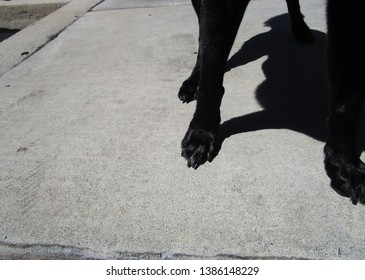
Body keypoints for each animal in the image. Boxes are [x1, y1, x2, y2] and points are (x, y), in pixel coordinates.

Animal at [178, 0, 364, 206]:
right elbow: (210, 70)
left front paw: (344, 165)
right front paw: (200, 135)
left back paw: (301, 28)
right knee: (202, 42)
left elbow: (347, 102)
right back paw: (192, 82)